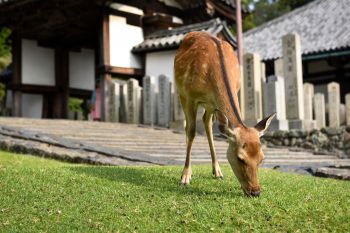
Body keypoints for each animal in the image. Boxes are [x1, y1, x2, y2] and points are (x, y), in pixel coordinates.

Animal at [174, 31, 274, 197]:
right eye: (240, 158)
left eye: (261, 158)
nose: (255, 192)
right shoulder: (189, 95)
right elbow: (192, 131)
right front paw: (185, 177)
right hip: (181, 93)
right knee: (189, 127)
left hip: (210, 105)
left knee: (207, 124)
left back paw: (217, 171)